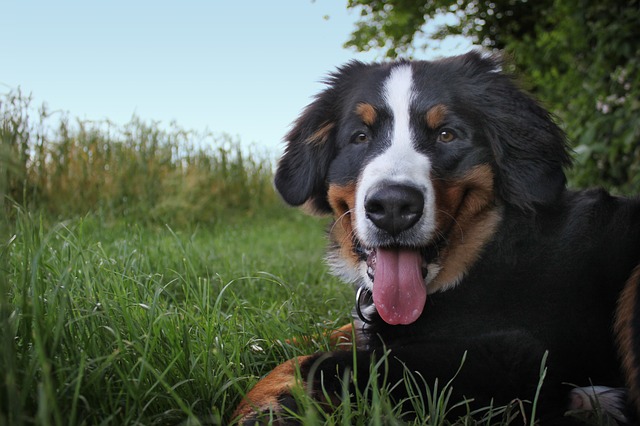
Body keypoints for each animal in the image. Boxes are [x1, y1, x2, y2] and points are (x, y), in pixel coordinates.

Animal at [234, 51, 640, 424]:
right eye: (360, 137)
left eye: (446, 134)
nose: (392, 206)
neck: (482, 251)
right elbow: (329, 335)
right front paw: (259, 348)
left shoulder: (512, 355)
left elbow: (321, 361)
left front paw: (267, 405)